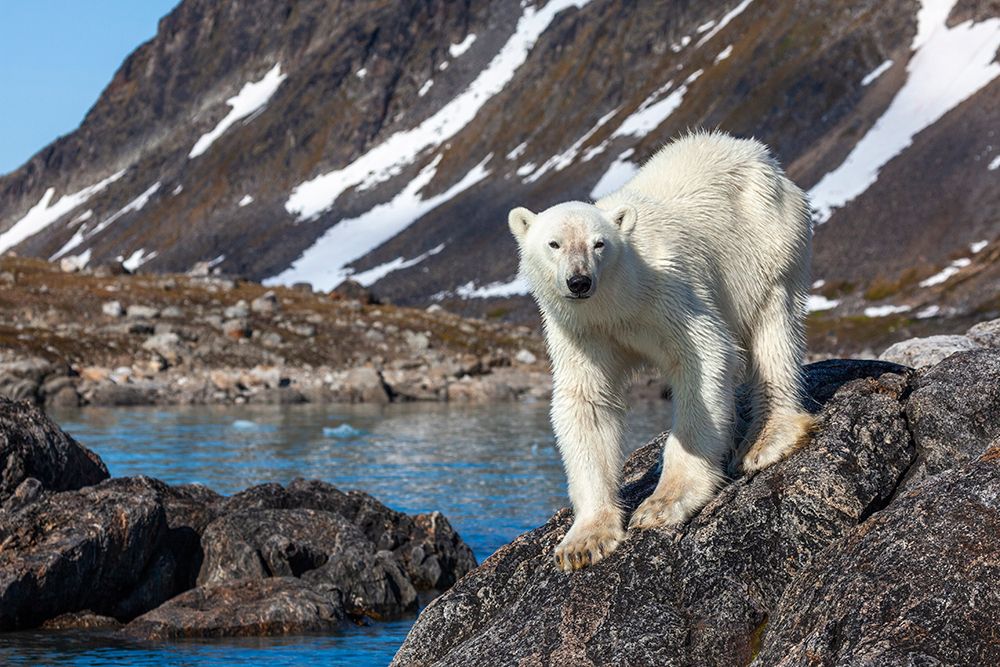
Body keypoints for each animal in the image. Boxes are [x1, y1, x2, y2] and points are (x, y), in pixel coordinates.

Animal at [508, 130, 814, 572]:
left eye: (599, 244)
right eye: (554, 243)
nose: (579, 282)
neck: (618, 301)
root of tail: (758, 154)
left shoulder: (668, 296)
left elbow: (704, 357)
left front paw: (663, 504)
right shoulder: (582, 330)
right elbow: (587, 401)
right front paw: (584, 541)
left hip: (768, 243)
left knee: (772, 330)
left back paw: (767, 439)